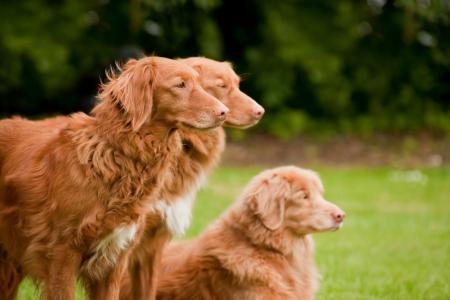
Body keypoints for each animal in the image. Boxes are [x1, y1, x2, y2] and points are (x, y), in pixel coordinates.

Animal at [0, 56, 227, 300]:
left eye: (199, 84)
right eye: (180, 85)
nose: (224, 111)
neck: (118, 154)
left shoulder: (113, 260)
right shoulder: (61, 254)